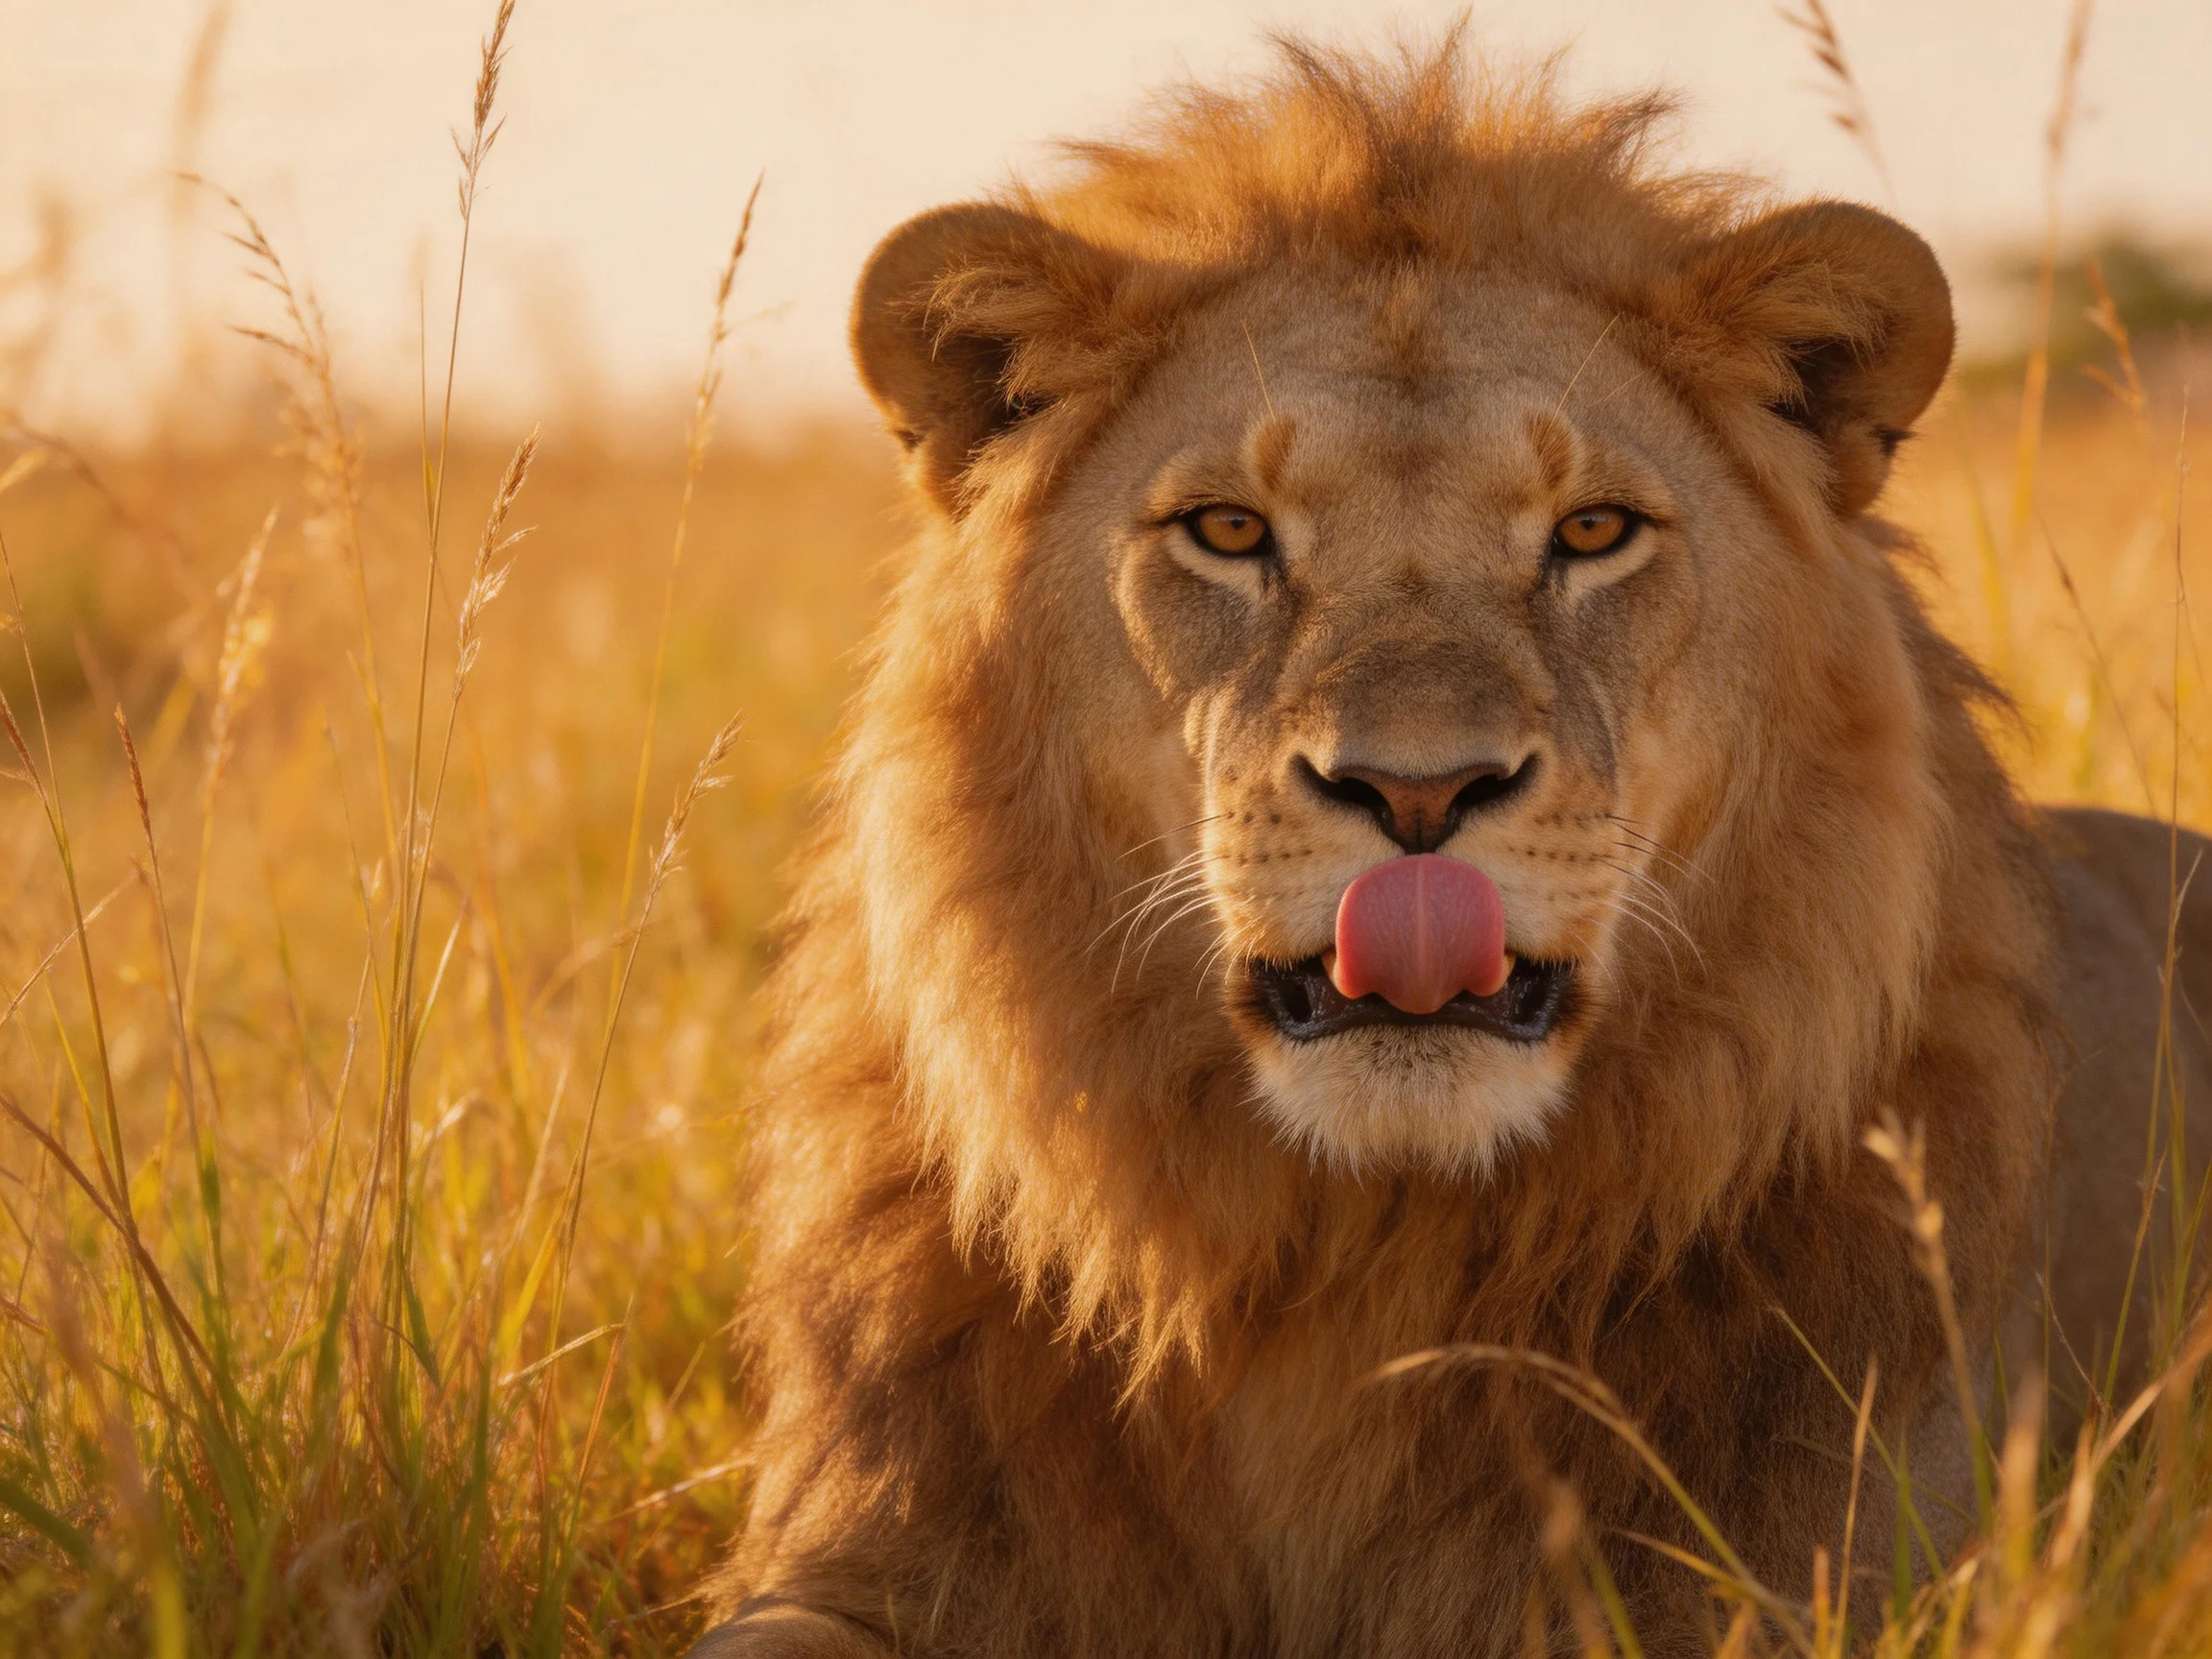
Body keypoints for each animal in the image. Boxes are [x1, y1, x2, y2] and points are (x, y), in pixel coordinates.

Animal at [687, 39, 2212, 1657]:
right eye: (1227, 530)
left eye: (1593, 530)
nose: (1418, 793)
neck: (1366, 1254)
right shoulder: (863, 1554)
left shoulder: (1830, 1574)